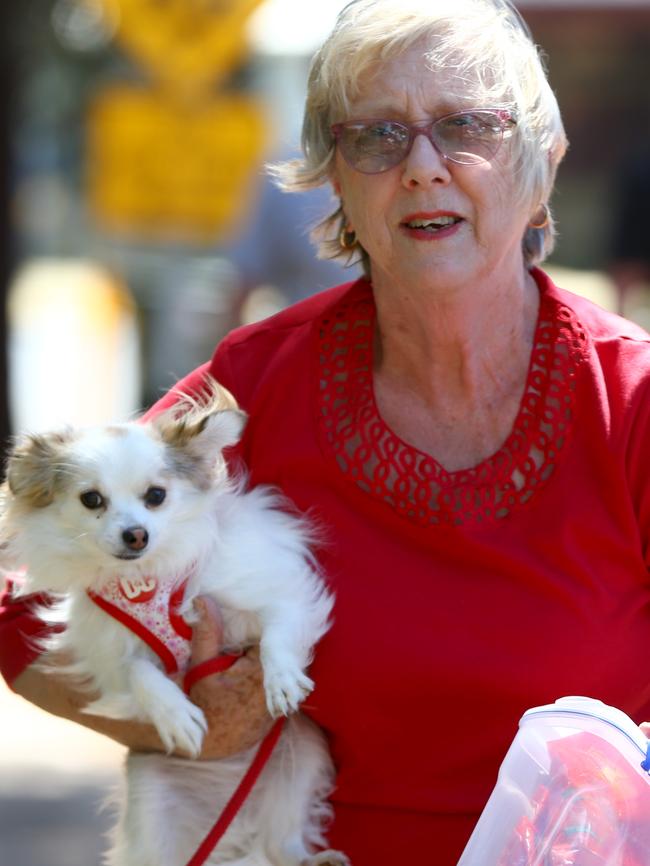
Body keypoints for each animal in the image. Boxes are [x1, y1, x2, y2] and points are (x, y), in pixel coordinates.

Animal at [2, 384, 346, 864]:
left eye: (156, 496)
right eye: (92, 499)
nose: (136, 534)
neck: (148, 579)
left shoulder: (278, 591)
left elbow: (277, 631)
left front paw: (280, 680)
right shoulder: (110, 654)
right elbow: (137, 670)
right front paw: (175, 711)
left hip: (305, 753)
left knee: (281, 844)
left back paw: (313, 858)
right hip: (151, 792)